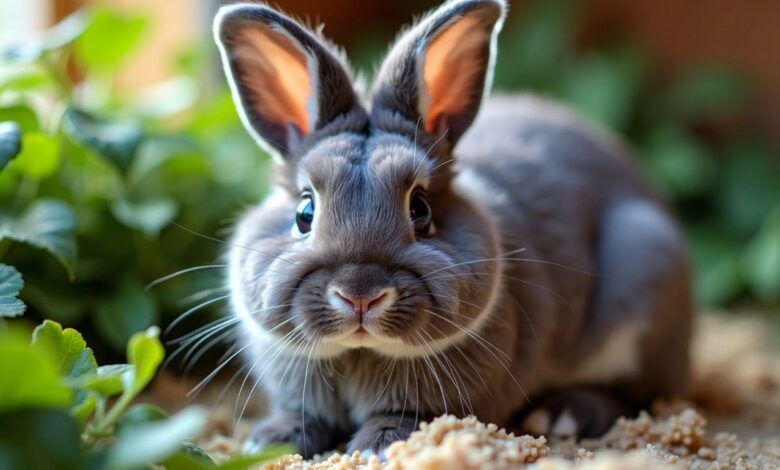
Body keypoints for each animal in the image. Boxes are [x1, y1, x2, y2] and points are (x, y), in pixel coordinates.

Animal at [212, 0, 688, 458]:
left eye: (420, 210)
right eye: (304, 213)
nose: (360, 295)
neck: (359, 352)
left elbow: (401, 418)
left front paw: (376, 447)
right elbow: (301, 415)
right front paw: (268, 441)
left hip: (642, 266)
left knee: (634, 391)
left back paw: (563, 416)